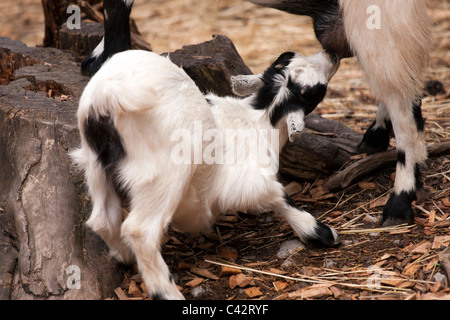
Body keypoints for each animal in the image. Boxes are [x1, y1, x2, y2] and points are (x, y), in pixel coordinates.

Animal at [72, 48, 340, 298]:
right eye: (317, 88)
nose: (332, 54)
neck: (258, 118)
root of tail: (107, 95)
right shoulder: (249, 180)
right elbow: (279, 195)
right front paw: (320, 232)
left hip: (95, 165)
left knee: (103, 219)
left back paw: (125, 255)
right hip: (164, 173)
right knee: (140, 230)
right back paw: (166, 291)